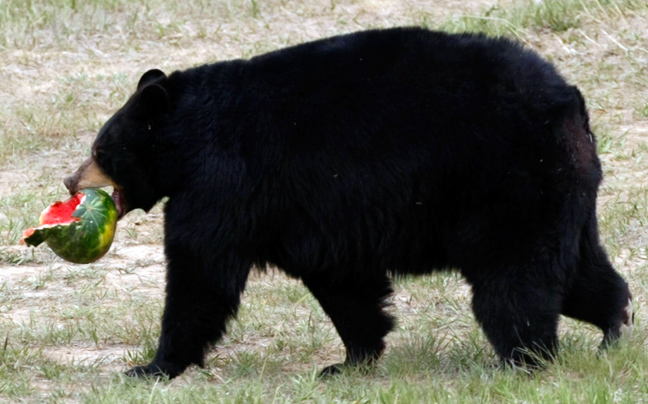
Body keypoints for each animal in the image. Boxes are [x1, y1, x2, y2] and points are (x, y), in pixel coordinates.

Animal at [66, 26, 632, 378]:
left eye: (101, 149)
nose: (71, 182)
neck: (187, 136)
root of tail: (569, 101)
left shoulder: (223, 182)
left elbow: (200, 273)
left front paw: (152, 366)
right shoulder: (313, 215)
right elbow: (344, 284)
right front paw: (350, 360)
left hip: (508, 185)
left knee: (514, 283)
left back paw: (522, 360)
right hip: (560, 192)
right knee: (579, 272)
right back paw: (612, 329)